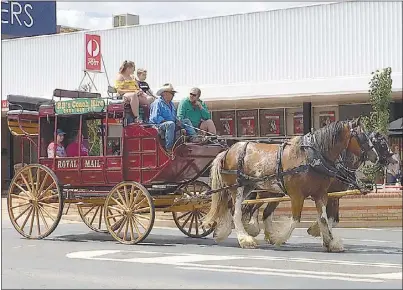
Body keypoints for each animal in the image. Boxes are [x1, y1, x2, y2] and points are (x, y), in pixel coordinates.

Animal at [204, 117, 380, 251]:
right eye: (362, 136)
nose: (376, 156)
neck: (312, 156)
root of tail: (228, 150)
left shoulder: (321, 194)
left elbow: (324, 218)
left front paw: (330, 242)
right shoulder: (297, 195)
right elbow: (296, 219)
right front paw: (279, 238)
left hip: (248, 187)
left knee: (234, 208)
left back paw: (224, 232)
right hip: (239, 188)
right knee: (237, 212)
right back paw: (245, 239)